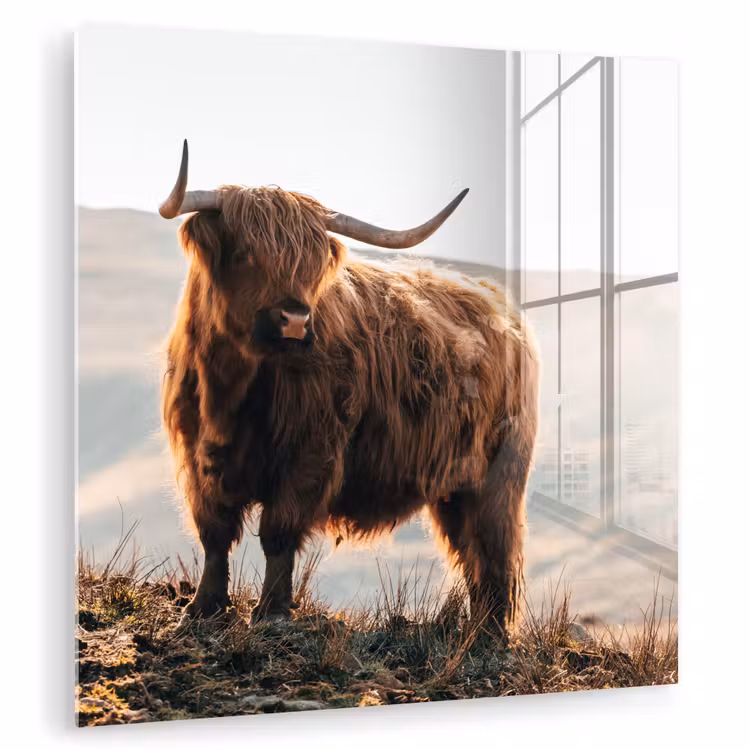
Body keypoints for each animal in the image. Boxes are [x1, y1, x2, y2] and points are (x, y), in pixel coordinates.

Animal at [160, 140, 539, 638]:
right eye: (245, 254)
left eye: (310, 265)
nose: (295, 320)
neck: (231, 390)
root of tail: (498, 304)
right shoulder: (197, 455)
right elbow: (215, 532)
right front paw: (203, 607)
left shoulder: (310, 454)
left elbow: (278, 532)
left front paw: (271, 612)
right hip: (456, 487)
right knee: (472, 553)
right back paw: (475, 632)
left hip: (498, 477)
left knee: (494, 552)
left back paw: (488, 637)